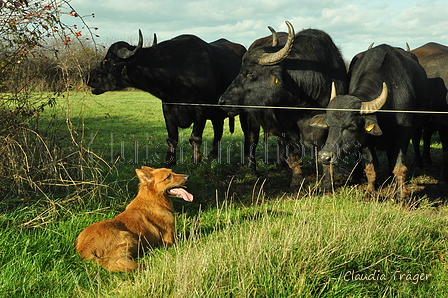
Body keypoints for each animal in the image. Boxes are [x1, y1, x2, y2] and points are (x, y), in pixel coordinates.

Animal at [84, 30, 245, 165]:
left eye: (108, 61)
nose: (87, 76)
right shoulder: (167, 107)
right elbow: (172, 138)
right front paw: (170, 161)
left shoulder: (201, 109)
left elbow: (195, 137)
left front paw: (195, 161)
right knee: (218, 130)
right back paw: (212, 155)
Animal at [219, 21, 348, 191]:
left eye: (250, 72)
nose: (222, 101)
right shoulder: (287, 123)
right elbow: (295, 150)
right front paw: (297, 182)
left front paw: (327, 184)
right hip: (251, 117)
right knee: (253, 139)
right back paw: (252, 168)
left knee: (280, 141)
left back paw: (282, 166)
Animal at [312, 43, 428, 200]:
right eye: (329, 125)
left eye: (351, 127)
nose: (325, 157)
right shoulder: (365, 140)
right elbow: (371, 165)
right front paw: (370, 192)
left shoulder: (403, 134)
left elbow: (399, 166)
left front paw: (401, 196)